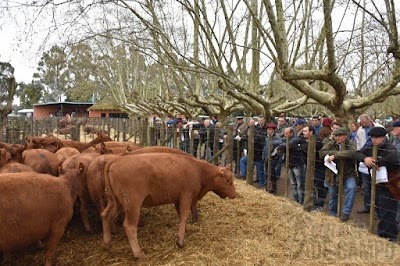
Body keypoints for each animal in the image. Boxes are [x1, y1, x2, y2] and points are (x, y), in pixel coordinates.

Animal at [101, 153, 238, 258]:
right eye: (227, 180)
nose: (234, 194)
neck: (198, 170)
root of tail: (116, 160)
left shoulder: (177, 199)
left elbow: (180, 216)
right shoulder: (186, 196)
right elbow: (184, 216)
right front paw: (180, 241)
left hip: (114, 201)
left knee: (105, 215)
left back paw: (107, 244)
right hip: (133, 205)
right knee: (129, 226)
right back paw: (138, 254)